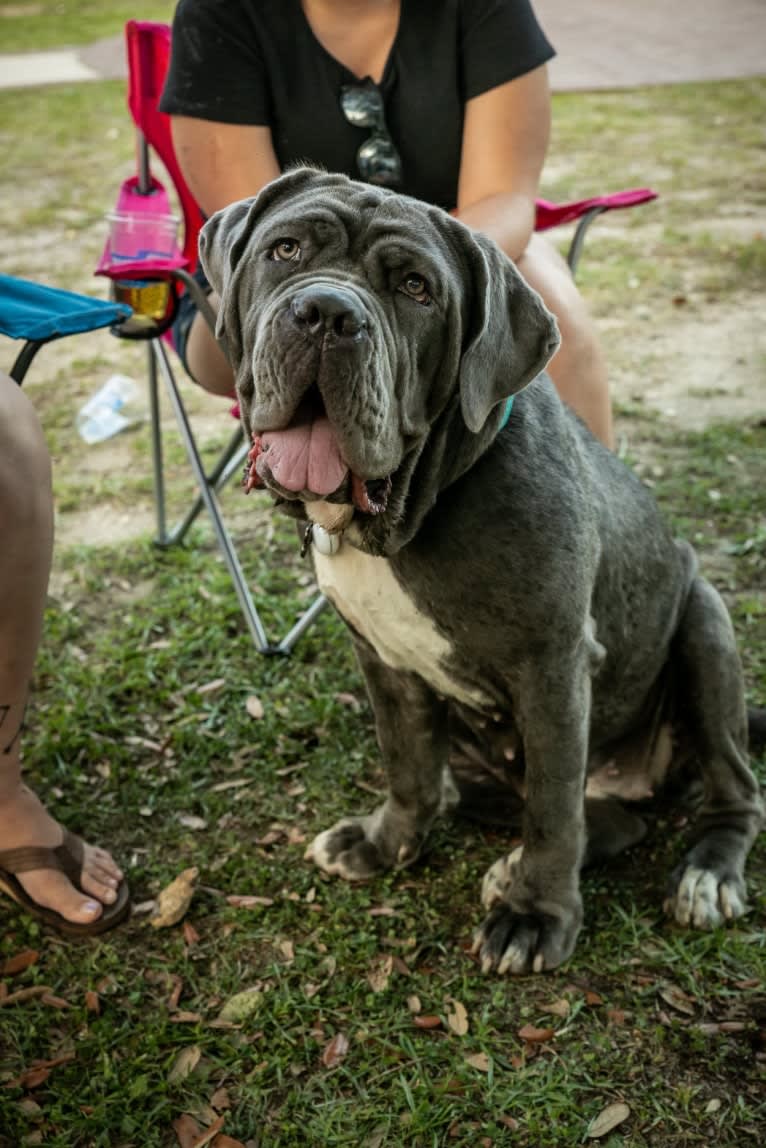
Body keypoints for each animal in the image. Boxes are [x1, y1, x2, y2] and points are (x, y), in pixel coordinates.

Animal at [200, 166, 762, 973]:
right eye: (285, 250)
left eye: (416, 288)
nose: (327, 313)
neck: (415, 507)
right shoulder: (385, 664)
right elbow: (407, 765)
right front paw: (384, 844)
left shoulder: (552, 666)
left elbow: (553, 806)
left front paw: (535, 916)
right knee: (571, 812)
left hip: (704, 629)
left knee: (727, 788)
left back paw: (704, 872)